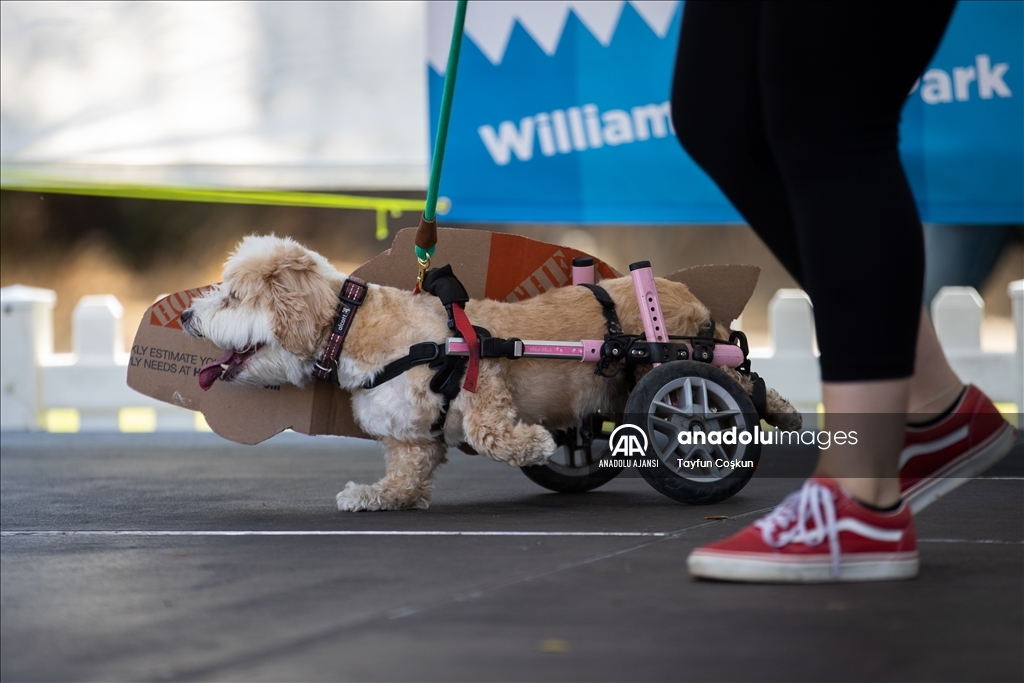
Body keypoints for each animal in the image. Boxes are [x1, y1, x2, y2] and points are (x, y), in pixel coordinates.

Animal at [180, 237, 794, 509]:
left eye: (232, 297)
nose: (186, 315)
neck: (354, 325)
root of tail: (689, 296)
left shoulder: (482, 376)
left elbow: (488, 431)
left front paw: (536, 445)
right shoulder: (408, 435)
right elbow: (406, 474)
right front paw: (377, 494)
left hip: (677, 365)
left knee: (740, 384)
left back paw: (776, 412)